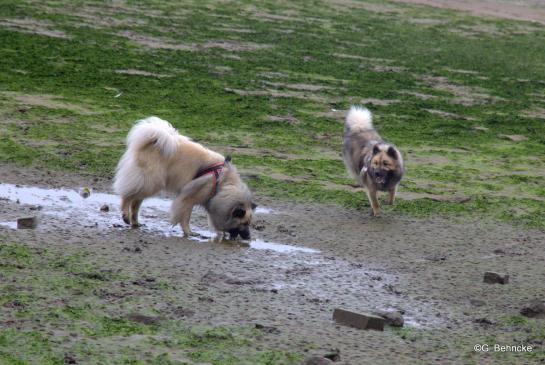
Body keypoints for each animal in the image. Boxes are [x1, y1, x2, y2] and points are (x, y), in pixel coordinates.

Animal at [112, 116, 255, 240]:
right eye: (244, 223)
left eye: (249, 223)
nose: (249, 237)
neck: (222, 183)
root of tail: (151, 142)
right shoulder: (188, 198)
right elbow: (185, 217)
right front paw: (189, 232)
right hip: (150, 182)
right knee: (128, 196)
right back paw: (126, 215)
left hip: (149, 184)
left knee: (136, 202)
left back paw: (135, 222)